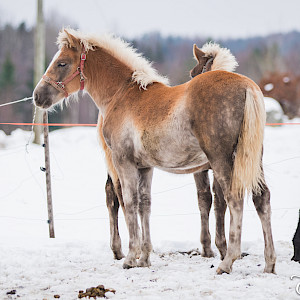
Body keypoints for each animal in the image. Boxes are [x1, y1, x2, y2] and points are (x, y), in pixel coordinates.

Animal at [33, 28, 276, 274]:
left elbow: (130, 202)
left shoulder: (124, 162)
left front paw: (131, 257)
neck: (121, 94)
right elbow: (145, 204)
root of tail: (247, 87)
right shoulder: (145, 167)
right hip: (253, 160)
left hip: (221, 159)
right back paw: (269, 263)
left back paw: (227, 262)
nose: (37, 96)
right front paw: (145, 257)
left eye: (62, 63)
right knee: (261, 198)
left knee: (234, 198)